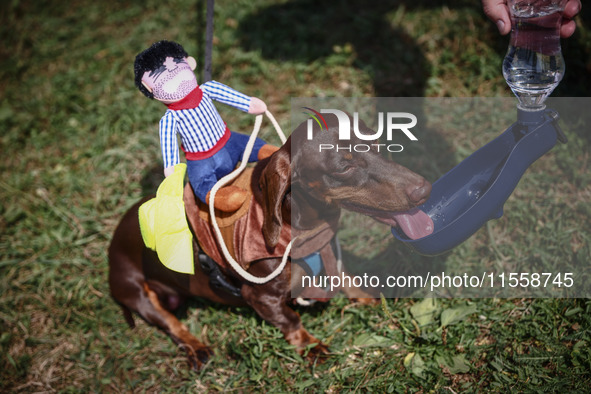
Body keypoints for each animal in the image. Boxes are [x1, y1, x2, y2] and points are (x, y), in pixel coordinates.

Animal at [107, 113, 430, 370]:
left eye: (378, 145)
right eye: (343, 168)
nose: (424, 189)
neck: (300, 225)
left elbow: (344, 277)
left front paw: (366, 297)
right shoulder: (261, 297)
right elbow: (290, 319)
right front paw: (310, 346)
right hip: (136, 291)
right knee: (171, 323)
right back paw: (196, 348)